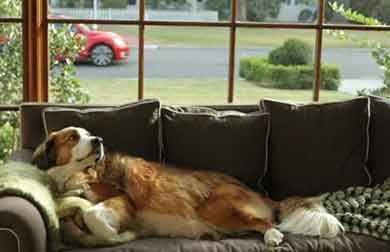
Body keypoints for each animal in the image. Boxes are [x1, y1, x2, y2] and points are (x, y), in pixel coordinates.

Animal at [33, 126, 344, 246]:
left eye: (88, 135)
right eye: (73, 137)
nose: (98, 140)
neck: (79, 173)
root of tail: (260, 194)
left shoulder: (121, 197)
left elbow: (92, 213)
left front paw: (113, 234)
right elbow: (81, 210)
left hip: (216, 206)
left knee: (265, 223)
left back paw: (273, 236)